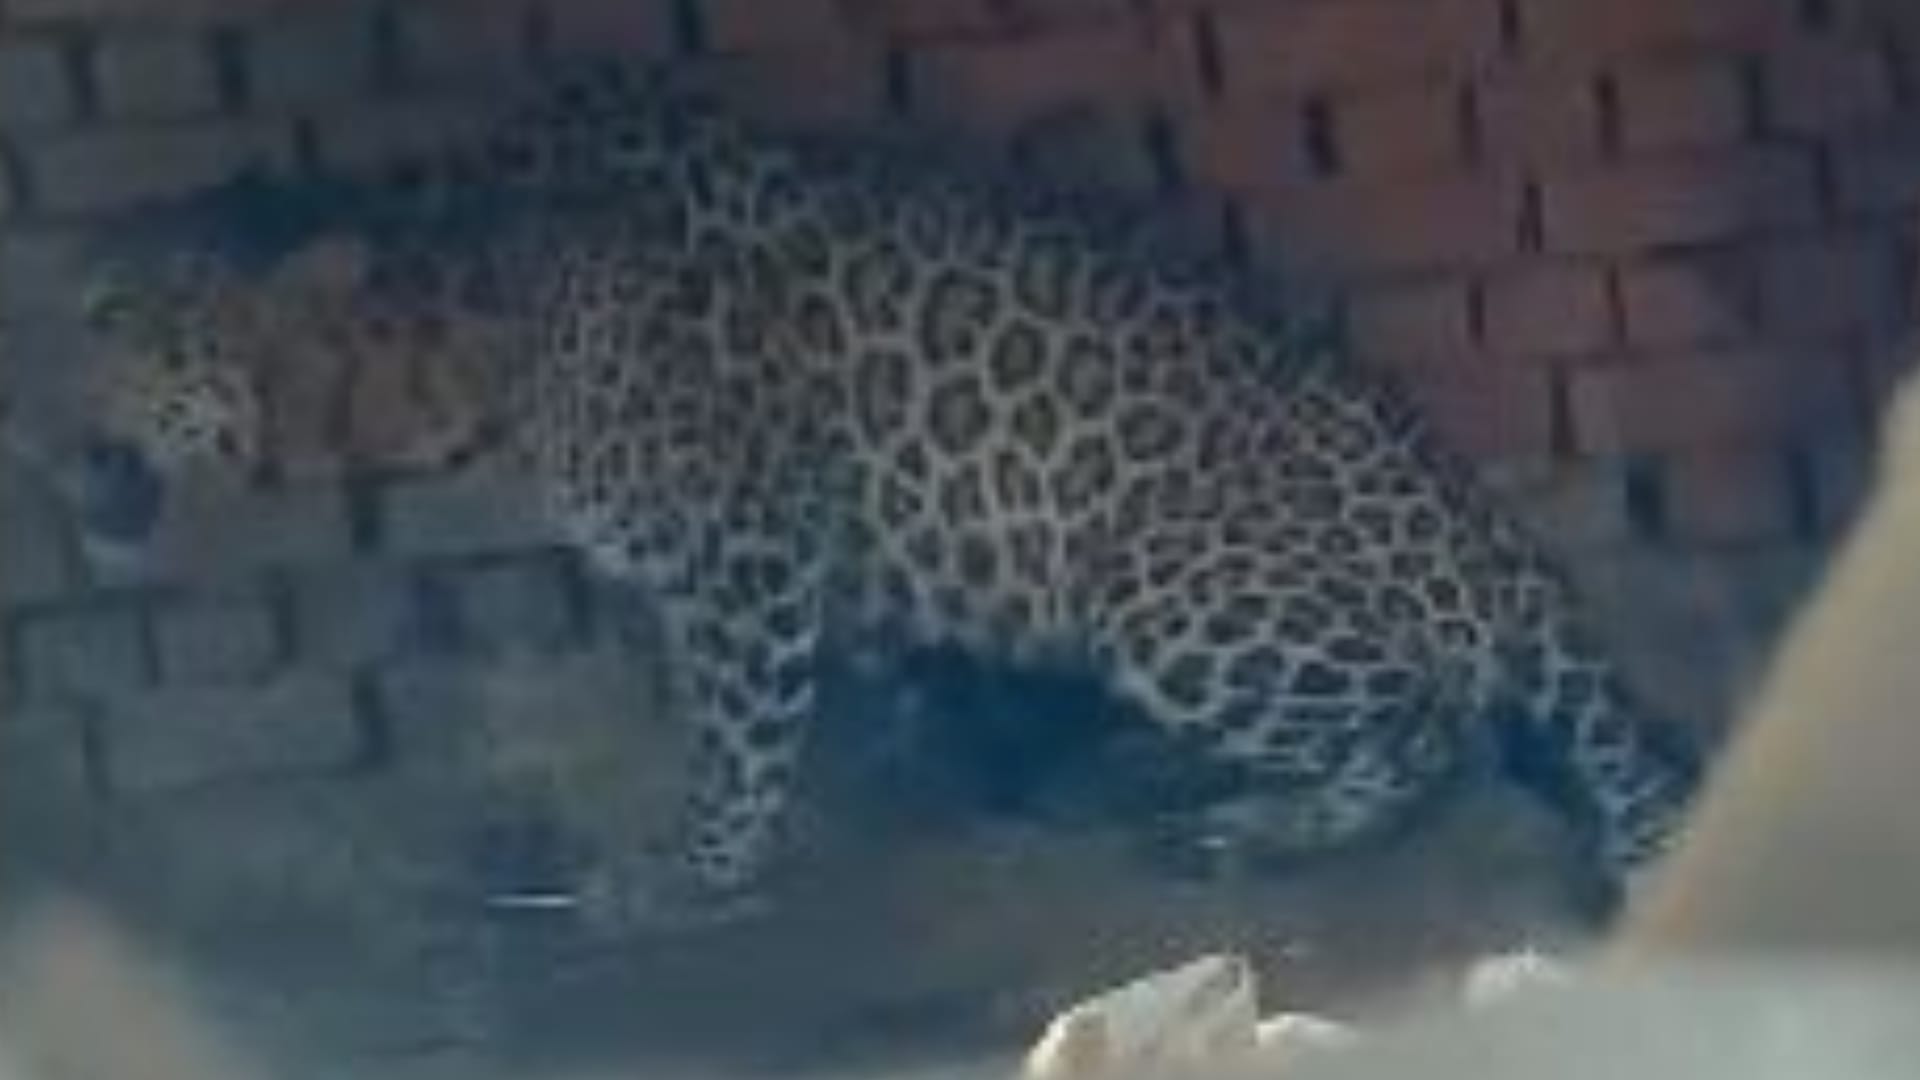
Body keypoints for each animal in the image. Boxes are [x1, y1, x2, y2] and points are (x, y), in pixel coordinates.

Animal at [34, 59, 1702, 929]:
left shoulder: (745, 544)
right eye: (72, 303)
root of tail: (1463, 499)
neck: (469, 318)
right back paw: (1137, 772)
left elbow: (736, 732)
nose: (31, 428)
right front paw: (955, 761)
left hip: (1168, 591)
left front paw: (688, 870)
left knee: (1436, 725)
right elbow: (886, 680)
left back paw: (1245, 828)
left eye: (120, 318)